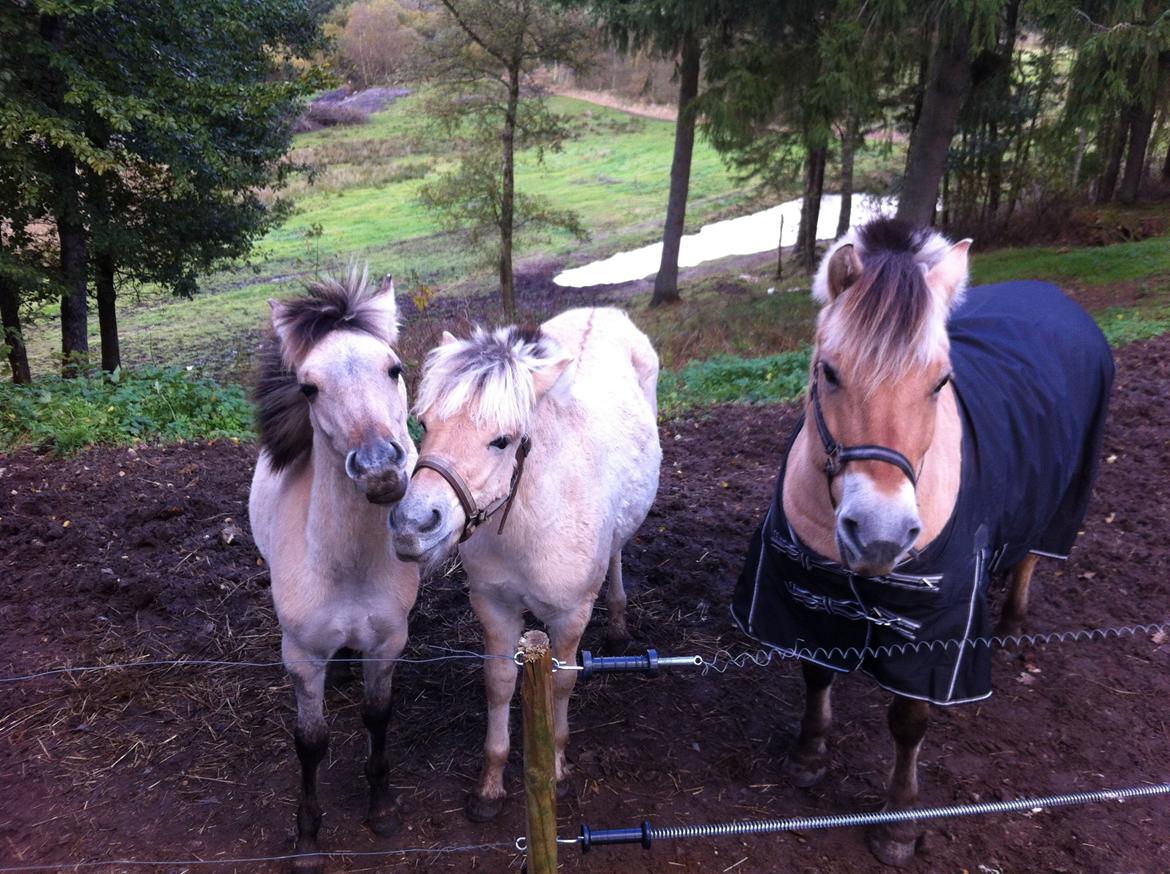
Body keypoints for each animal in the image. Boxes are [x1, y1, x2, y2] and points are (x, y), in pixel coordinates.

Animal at [244, 270, 418, 870]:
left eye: (394, 368)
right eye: (309, 388)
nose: (380, 468)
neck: (347, 567)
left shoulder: (387, 643)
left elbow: (378, 714)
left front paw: (382, 808)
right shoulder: (300, 656)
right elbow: (311, 741)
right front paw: (307, 838)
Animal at [390, 306, 664, 819]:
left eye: (501, 440)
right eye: (425, 424)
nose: (412, 525)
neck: (527, 521)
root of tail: (604, 311)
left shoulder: (570, 616)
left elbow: (561, 682)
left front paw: (555, 766)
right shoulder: (494, 607)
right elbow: (499, 682)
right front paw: (490, 785)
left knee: (618, 551)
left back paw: (618, 620)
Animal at [730, 218, 1113, 870]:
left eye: (940, 382)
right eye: (828, 372)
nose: (880, 533)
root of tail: (1053, 295)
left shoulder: (936, 634)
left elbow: (909, 719)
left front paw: (899, 822)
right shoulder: (806, 598)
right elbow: (815, 675)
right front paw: (809, 754)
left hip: (1062, 502)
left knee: (1032, 556)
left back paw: (1013, 624)